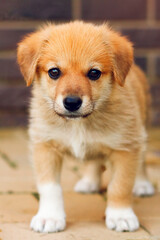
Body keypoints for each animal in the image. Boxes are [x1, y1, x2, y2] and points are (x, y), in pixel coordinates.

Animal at [17, 21, 154, 233]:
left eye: (94, 73)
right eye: (54, 72)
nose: (72, 103)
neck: (79, 124)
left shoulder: (125, 147)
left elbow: (120, 185)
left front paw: (120, 215)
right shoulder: (45, 146)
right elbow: (49, 187)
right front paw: (49, 217)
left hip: (141, 131)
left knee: (141, 161)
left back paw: (142, 184)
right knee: (93, 160)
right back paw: (89, 182)